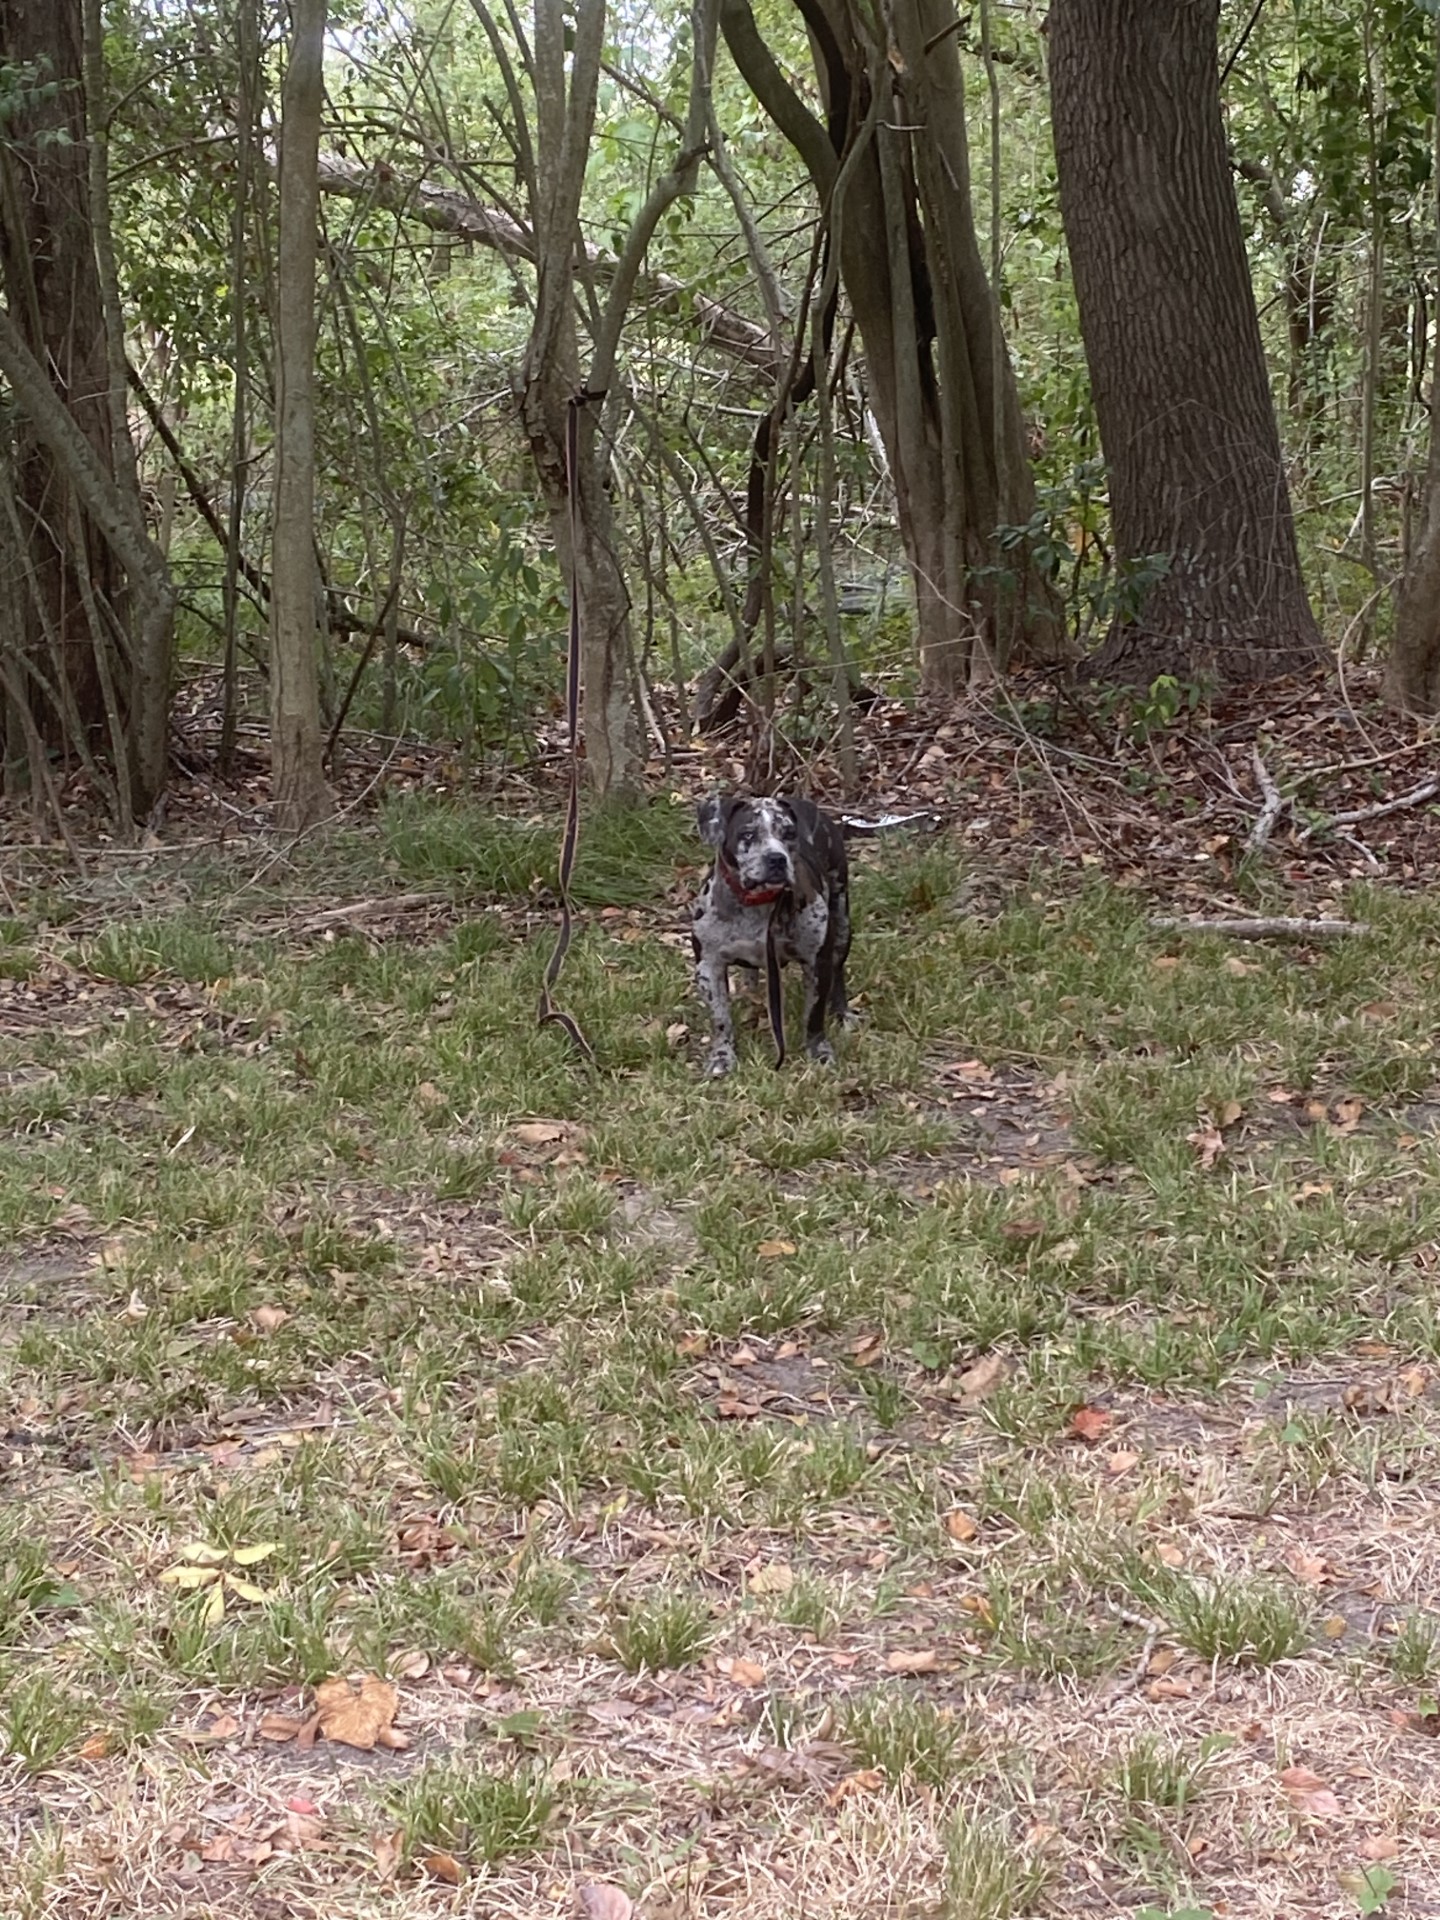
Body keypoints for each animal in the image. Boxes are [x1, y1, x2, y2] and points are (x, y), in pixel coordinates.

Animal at [691, 787, 852, 1075]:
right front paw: (722, 1055)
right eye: (747, 834)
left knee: (838, 971)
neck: (758, 903)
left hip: (842, 922)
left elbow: (814, 1015)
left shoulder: (817, 962)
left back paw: (842, 1013)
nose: (776, 858)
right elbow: (720, 1018)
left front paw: (818, 1050)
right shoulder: (708, 966)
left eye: (789, 833)